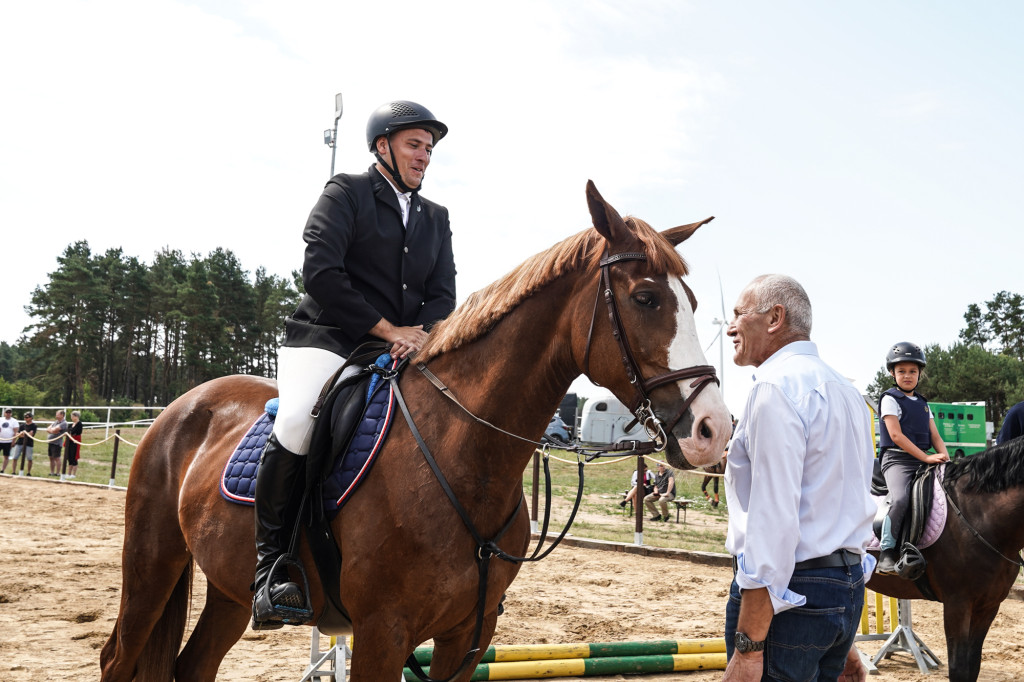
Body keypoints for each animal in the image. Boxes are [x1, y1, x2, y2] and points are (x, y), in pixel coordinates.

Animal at [99, 182, 733, 679]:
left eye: (692, 300)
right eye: (646, 298)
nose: (714, 430)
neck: (463, 453)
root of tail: (181, 407)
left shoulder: (467, 637)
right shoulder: (382, 633)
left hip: (230, 590)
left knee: (194, 665)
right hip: (153, 562)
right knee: (117, 657)